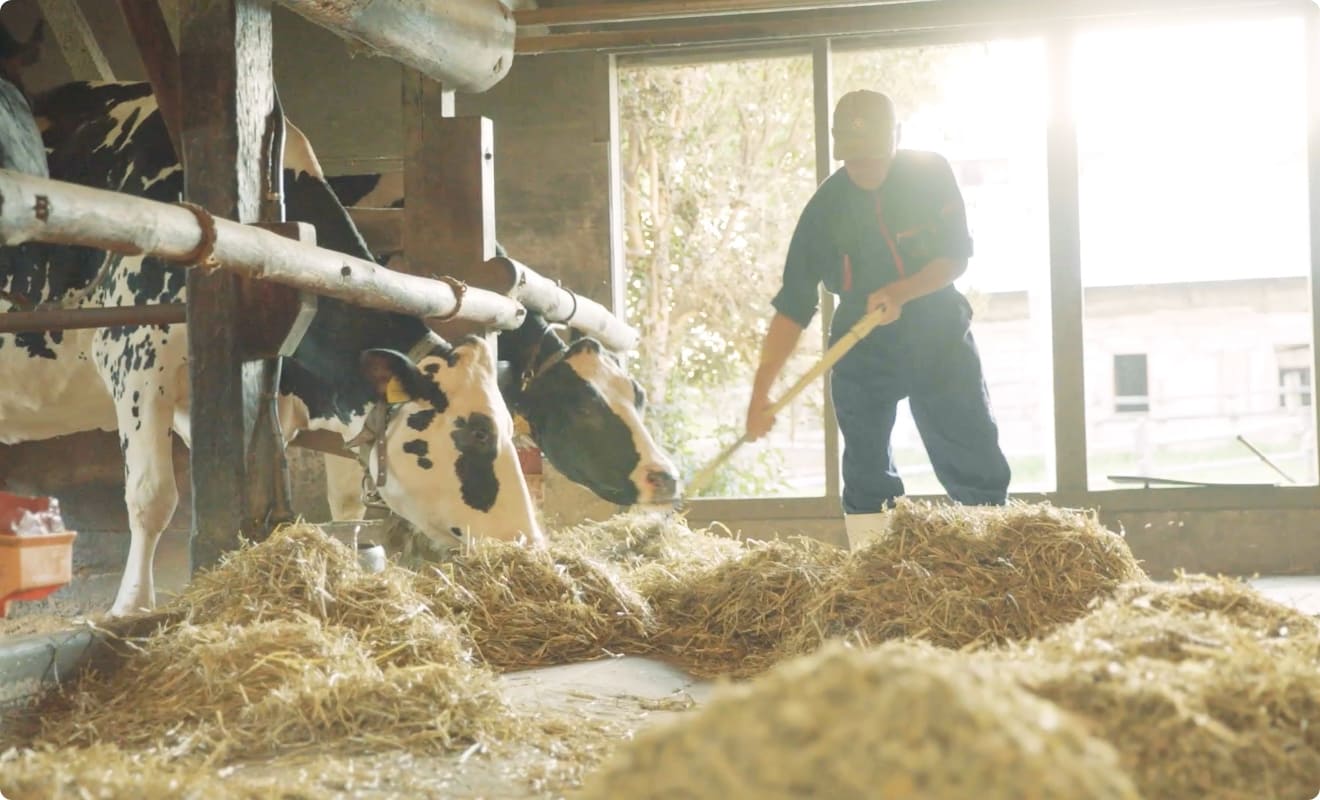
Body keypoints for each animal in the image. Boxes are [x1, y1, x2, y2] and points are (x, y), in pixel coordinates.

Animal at [1, 83, 541, 615]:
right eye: (477, 433)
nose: (530, 544)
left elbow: (323, 500)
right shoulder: (134, 361)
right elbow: (151, 497)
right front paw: (131, 608)